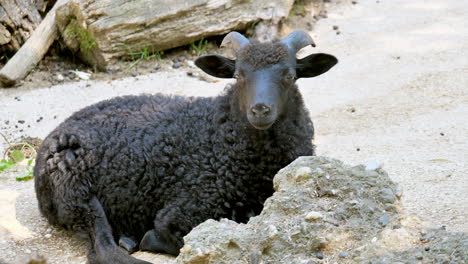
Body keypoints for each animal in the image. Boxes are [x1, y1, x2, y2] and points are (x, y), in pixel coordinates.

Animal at [34, 31, 338, 264]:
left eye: (289, 75)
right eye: (238, 75)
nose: (260, 110)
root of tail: (54, 134)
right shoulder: (182, 211)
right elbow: (169, 237)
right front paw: (149, 238)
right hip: (77, 194)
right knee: (103, 249)